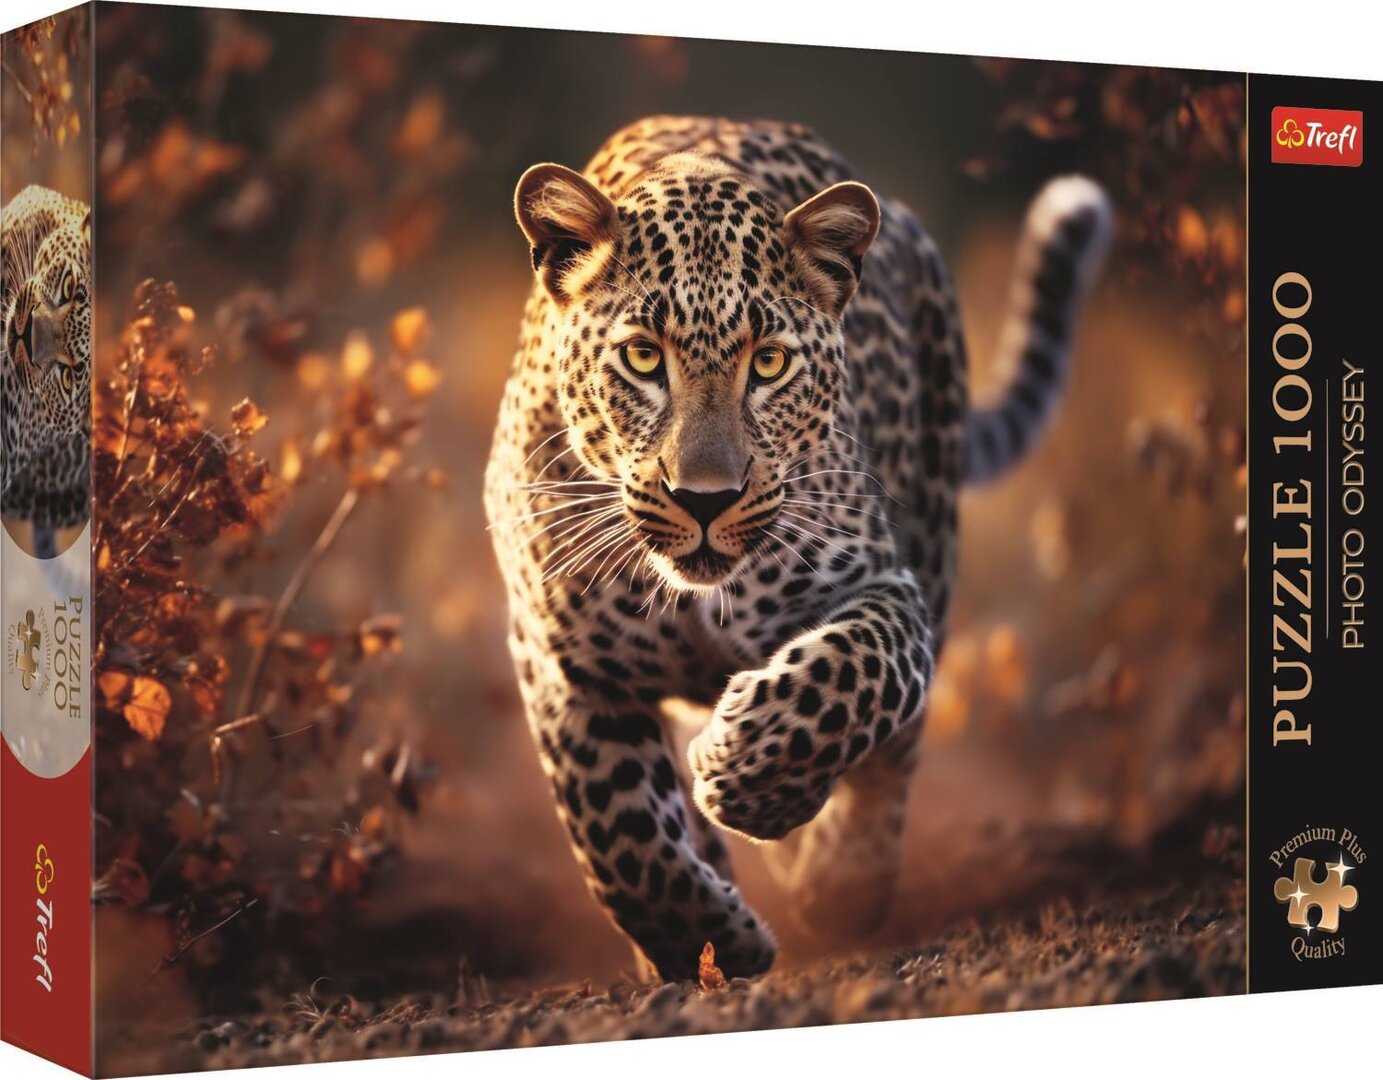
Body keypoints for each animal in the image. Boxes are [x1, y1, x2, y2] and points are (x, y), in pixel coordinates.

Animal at [485, 116, 1111, 982]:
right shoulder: (562, 662)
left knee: (893, 758)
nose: (704, 498)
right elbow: (617, 831)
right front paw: (705, 942)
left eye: (769, 362)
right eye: (642, 357)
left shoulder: (884, 587)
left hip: (935, 536)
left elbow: (852, 676)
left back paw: (840, 880)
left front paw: (747, 773)